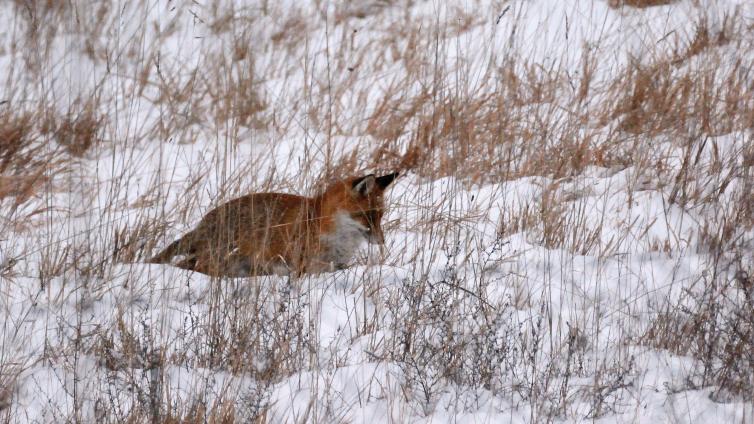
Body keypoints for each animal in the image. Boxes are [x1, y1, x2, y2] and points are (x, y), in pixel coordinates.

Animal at [145, 173, 400, 278]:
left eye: (381, 215)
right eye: (368, 215)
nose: (382, 241)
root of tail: (204, 223)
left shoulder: (336, 264)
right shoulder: (303, 264)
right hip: (222, 257)